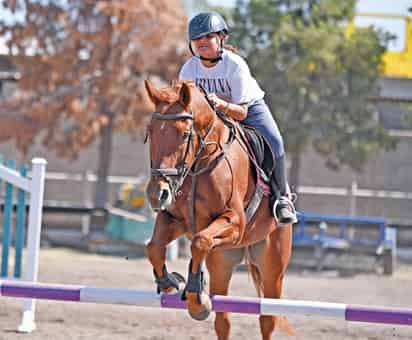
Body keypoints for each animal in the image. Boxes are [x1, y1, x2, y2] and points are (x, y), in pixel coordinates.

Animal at [143, 80, 294, 340]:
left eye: (184, 134)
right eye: (150, 132)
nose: (157, 194)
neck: (198, 164)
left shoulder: (234, 222)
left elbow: (200, 241)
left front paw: (195, 294)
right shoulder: (175, 218)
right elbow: (153, 247)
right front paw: (171, 283)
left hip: (272, 267)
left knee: (267, 318)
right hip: (222, 262)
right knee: (223, 320)